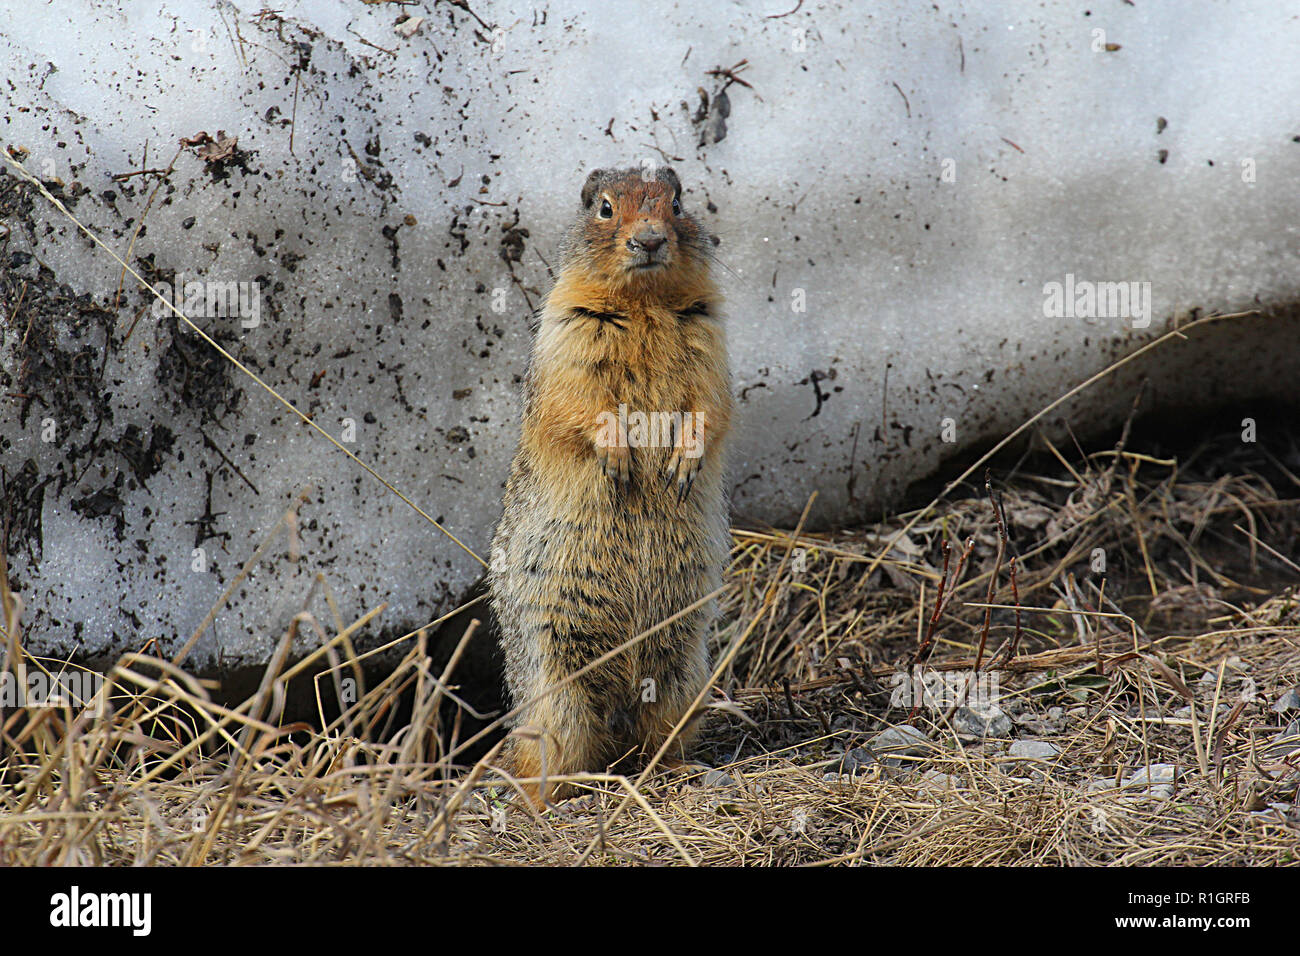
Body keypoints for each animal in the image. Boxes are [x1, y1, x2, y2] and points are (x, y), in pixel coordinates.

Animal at [487, 165, 732, 806]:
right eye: (602, 208)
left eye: (678, 202)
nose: (648, 240)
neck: (644, 305)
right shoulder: (568, 331)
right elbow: (578, 404)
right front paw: (618, 459)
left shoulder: (711, 334)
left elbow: (711, 405)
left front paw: (682, 464)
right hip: (554, 693)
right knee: (551, 754)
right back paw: (552, 798)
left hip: (681, 677)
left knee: (656, 736)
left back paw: (677, 771)